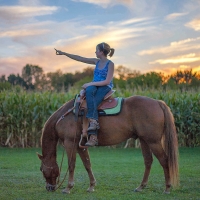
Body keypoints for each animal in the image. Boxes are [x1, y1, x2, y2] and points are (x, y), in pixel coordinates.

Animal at [37, 95, 180, 194]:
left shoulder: (69, 143)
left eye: (41, 169)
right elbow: (87, 164)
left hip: (153, 142)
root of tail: (158, 102)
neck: (64, 117)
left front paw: (68, 188)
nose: (49, 188)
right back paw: (140, 187)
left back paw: (167, 188)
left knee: (164, 160)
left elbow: (71, 165)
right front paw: (91, 186)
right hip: (144, 140)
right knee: (148, 161)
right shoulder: (80, 146)